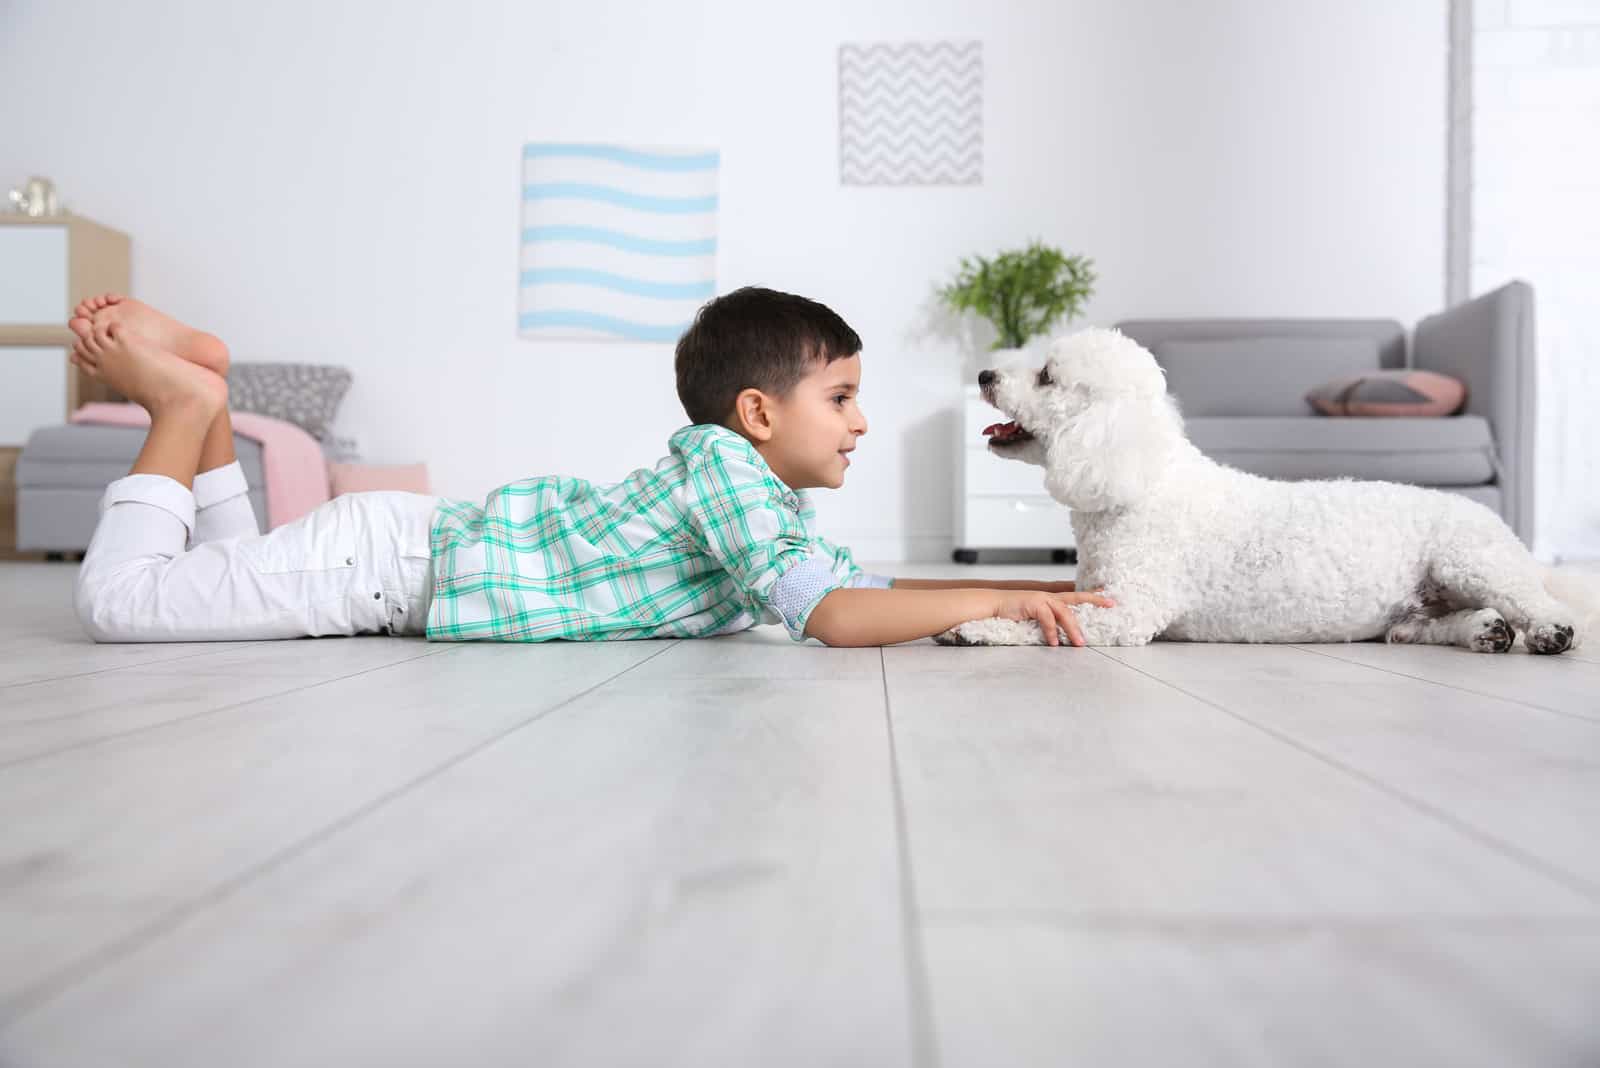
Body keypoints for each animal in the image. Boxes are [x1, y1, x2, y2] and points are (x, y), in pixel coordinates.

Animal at [934, 326, 1587, 652]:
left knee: (1539, 604)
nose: (985, 374)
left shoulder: (1131, 610)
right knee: (1432, 625)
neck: (1141, 483)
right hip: (1418, 608)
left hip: (1470, 559)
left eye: (1046, 376)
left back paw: (1549, 632)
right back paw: (1484, 631)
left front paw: (976, 627)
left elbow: (1037, 620)